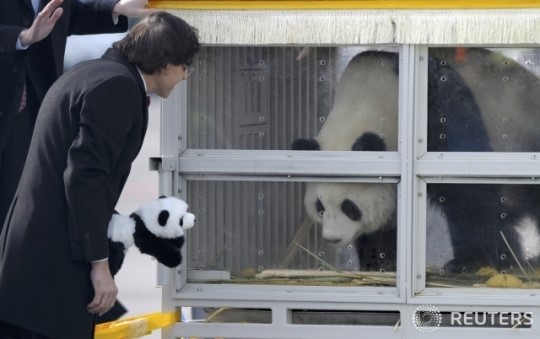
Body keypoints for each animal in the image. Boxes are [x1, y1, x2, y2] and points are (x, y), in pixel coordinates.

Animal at [294, 47, 540, 276]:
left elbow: (467, 193)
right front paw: (380, 262)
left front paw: (470, 262)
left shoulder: (440, 113)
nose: (332, 238)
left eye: (349, 207)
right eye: (320, 207)